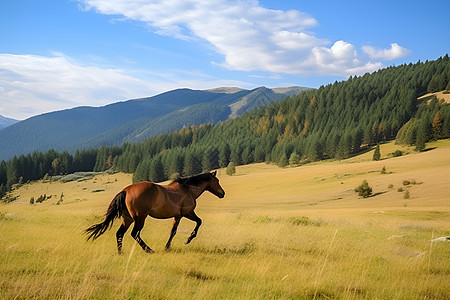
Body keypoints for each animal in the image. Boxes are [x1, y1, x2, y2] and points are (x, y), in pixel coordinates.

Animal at [85, 171, 225, 253]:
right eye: (217, 181)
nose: (222, 193)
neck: (188, 190)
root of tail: (125, 191)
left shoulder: (177, 216)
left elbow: (173, 232)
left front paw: (167, 247)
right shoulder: (187, 213)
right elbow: (199, 222)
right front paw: (188, 239)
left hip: (127, 219)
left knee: (120, 233)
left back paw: (120, 252)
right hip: (140, 218)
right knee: (135, 234)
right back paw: (148, 250)